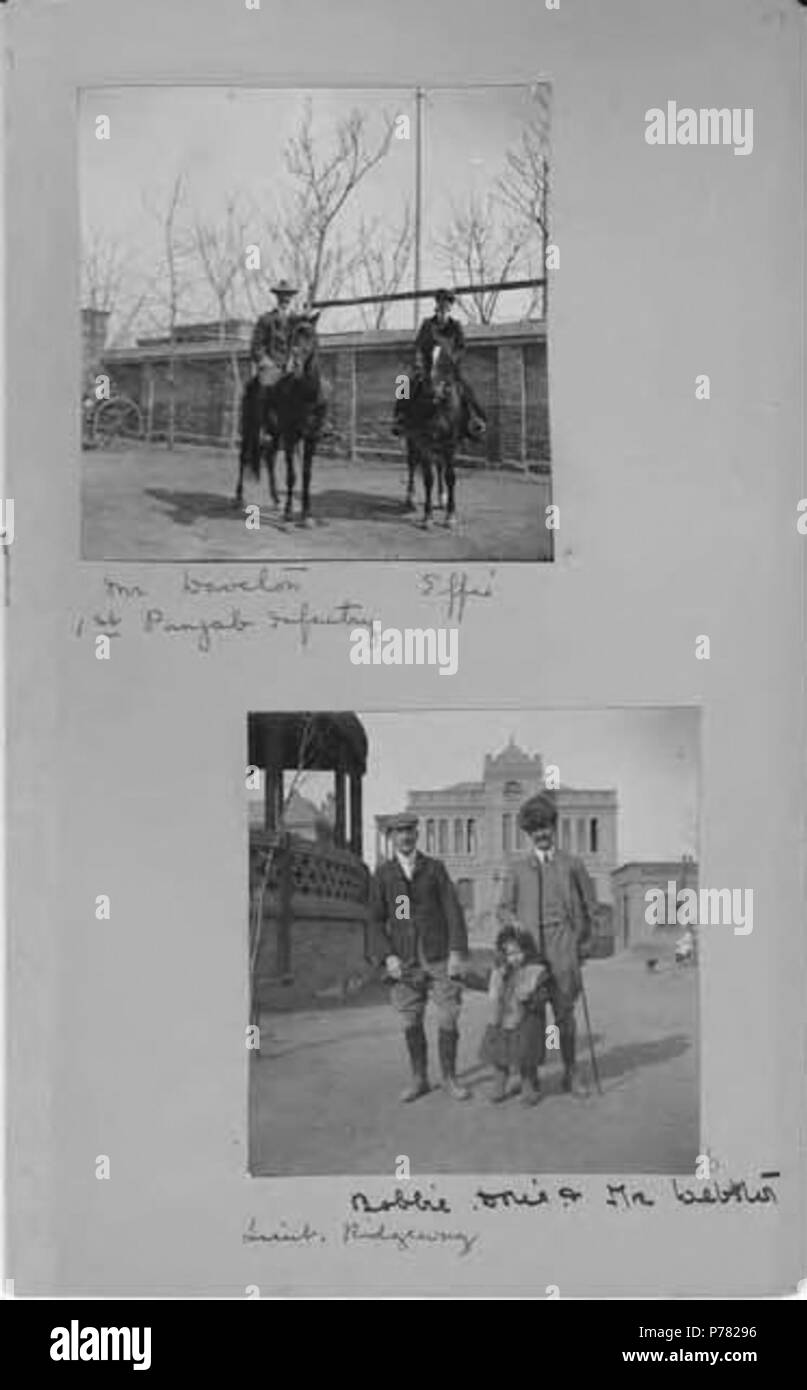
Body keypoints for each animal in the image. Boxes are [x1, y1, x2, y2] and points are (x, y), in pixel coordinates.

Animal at [233, 315, 323, 525]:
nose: (295, 364)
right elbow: (292, 475)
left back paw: (275, 500)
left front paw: (306, 514)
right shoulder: (290, 437)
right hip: (250, 426)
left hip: (274, 433)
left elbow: (306, 475)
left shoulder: (311, 438)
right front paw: (289, 513)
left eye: (310, 335)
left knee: (269, 457)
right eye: (292, 337)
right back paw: (238, 498)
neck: (306, 395)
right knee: (243, 457)